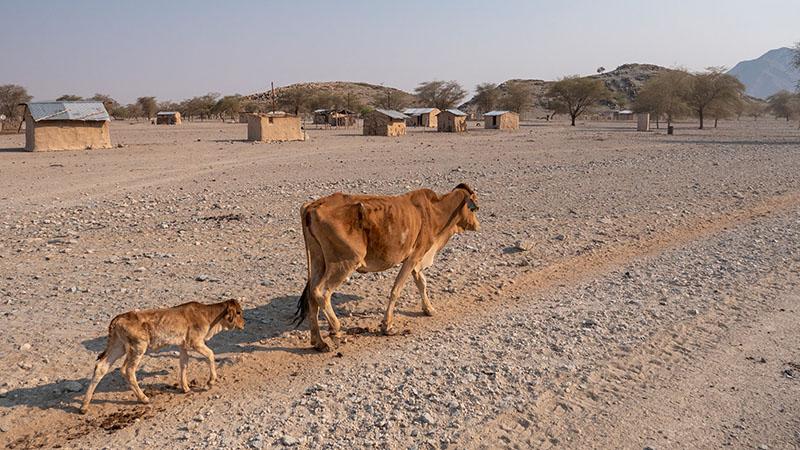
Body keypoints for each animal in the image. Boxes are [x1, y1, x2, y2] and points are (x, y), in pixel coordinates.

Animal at [80, 299, 245, 414]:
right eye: (238, 312)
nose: (243, 324)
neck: (208, 316)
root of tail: (118, 318)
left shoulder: (183, 345)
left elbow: (184, 363)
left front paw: (186, 388)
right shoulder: (195, 342)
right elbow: (211, 354)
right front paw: (210, 382)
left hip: (118, 346)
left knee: (101, 367)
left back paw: (84, 406)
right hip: (137, 347)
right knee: (128, 370)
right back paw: (144, 399)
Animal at [294, 183, 480, 352]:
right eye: (473, 209)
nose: (477, 225)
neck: (435, 211)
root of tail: (311, 206)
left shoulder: (416, 261)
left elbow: (422, 283)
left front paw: (429, 309)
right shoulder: (413, 257)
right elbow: (396, 289)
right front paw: (387, 326)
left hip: (318, 260)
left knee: (311, 295)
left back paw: (319, 342)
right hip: (345, 262)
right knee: (321, 292)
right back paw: (336, 331)